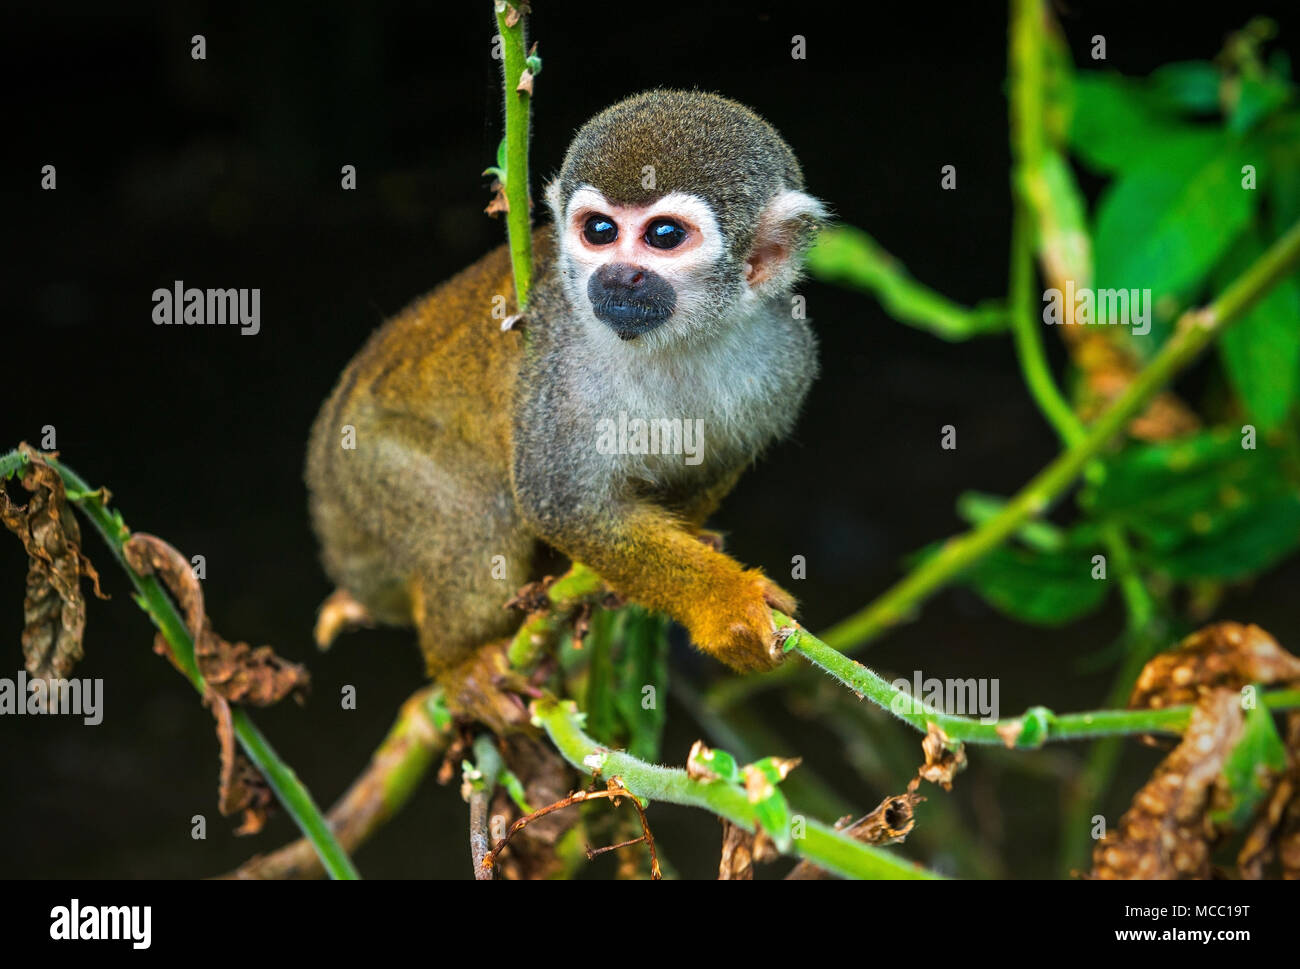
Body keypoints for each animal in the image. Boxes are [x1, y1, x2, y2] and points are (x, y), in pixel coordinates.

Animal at [304, 89, 821, 712]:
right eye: (599, 229)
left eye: (664, 236)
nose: (619, 277)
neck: (675, 340)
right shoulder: (562, 359)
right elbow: (562, 502)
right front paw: (724, 606)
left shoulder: (786, 356)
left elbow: (718, 462)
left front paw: (681, 546)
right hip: (368, 461)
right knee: (473, 514)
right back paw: (461, 664)